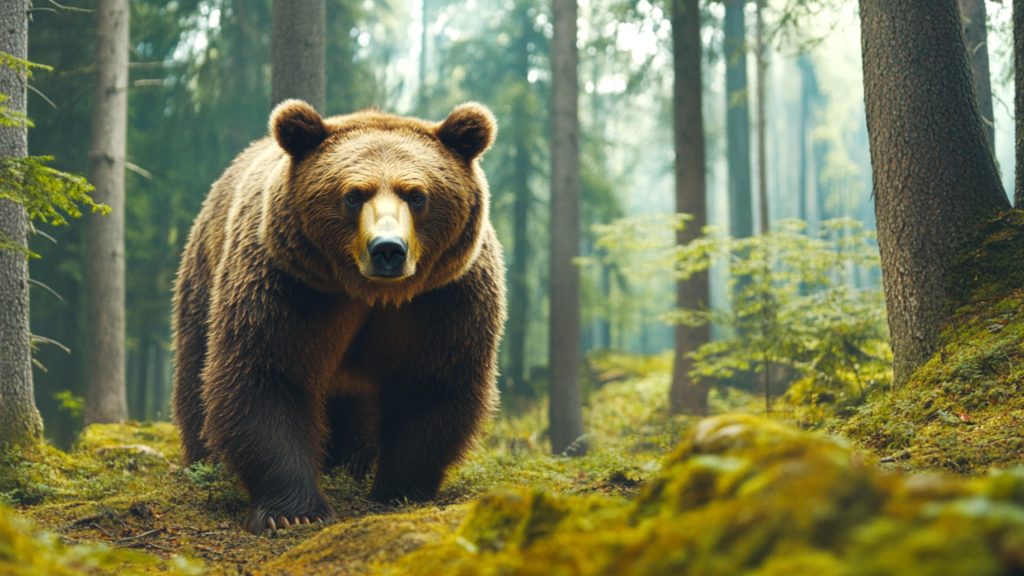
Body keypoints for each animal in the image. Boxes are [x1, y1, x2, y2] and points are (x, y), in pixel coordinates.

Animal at [171, 99, 506, 534]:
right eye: (353, 195)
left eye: (417, 195)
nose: (387, 249)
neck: (371, 294)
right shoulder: (291, 286)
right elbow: (269, 375)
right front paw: (293, 510)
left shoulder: (444, 299)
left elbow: (433, 382)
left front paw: (400, 489)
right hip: (205, 275)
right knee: (197, 368)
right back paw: (205, 461)